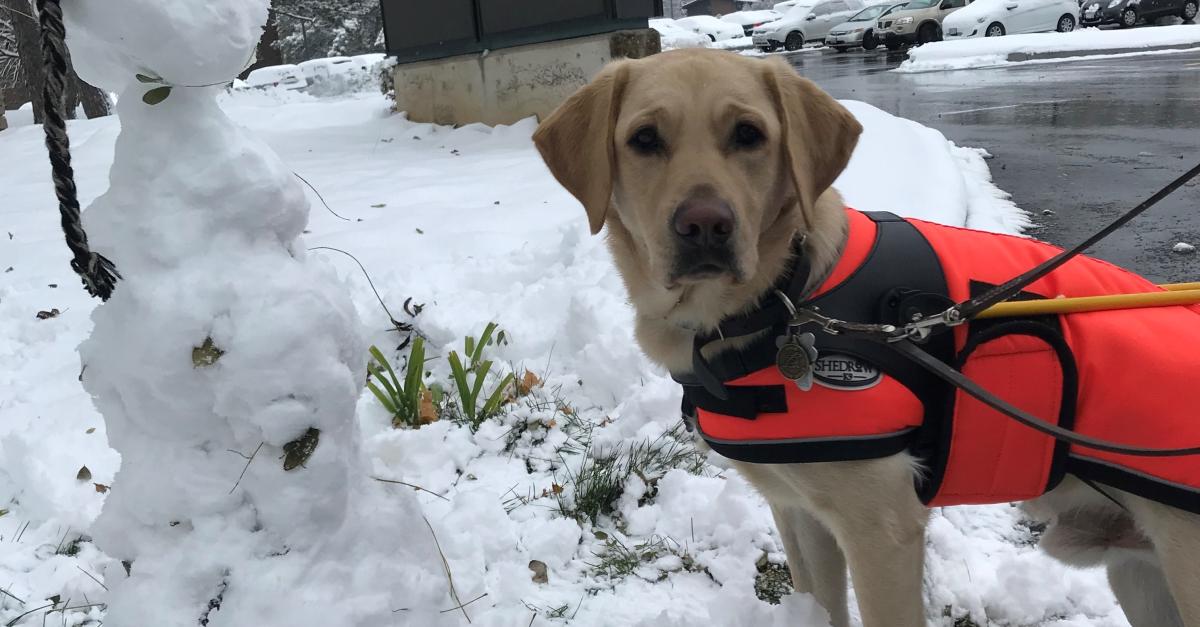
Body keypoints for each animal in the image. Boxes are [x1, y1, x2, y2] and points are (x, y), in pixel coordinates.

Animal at [537, 48, 1200, 624]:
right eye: (644, 139)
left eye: (749, 134)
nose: (704, 225)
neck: (784, 297)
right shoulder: (799, 513)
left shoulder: (882, 532)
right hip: (1139, 572)